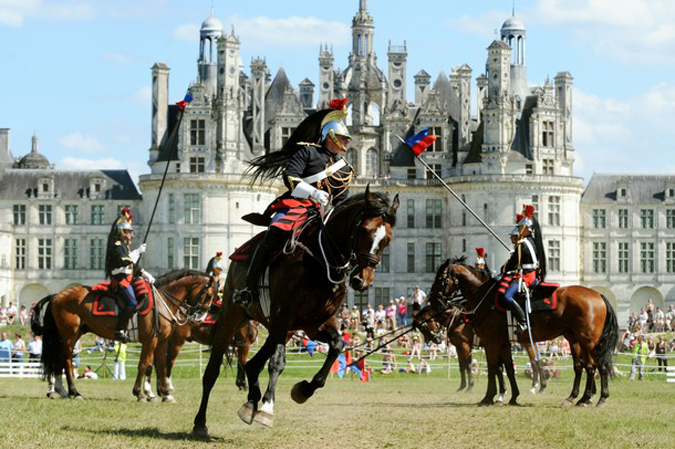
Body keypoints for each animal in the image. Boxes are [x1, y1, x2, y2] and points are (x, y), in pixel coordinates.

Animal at [30, 268, 215, 400]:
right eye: (210, 294)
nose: (202, 316)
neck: (163, 301)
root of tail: (59, 295)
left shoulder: (161, 342)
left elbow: (159, 366)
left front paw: (163, 394)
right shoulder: (151, 340)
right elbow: (144, 365)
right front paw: (141, 393)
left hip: (68, 335)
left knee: (59, 359)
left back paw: (60, 390)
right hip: (70, 335)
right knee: (67, 360)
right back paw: (74, 392)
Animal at [193, 189, 398, 434]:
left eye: (387, 239)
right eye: (365, 230)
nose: (362, 281)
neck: (321, 260)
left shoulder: (315, 324)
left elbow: (338, 345)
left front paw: (303, 390)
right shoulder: (284, 316)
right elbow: (277, 362)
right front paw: (267, 409)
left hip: (282, 329)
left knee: (252, 364)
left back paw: (251, 403)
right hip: (234, 318)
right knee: (213, 371)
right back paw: (201, 422)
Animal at [428, 258, 616, 408]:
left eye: (441, 278)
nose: (433, 301)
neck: (486, 299)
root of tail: (598, 294)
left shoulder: (490, 342)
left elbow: (492, 368)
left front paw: (489, 397)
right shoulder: (503, 343)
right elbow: (508, 369)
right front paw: (512, 397)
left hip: (589, 341)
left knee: (599, 365)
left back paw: (601, 398)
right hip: (576, 340)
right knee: (585, 366)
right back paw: (579, 398)